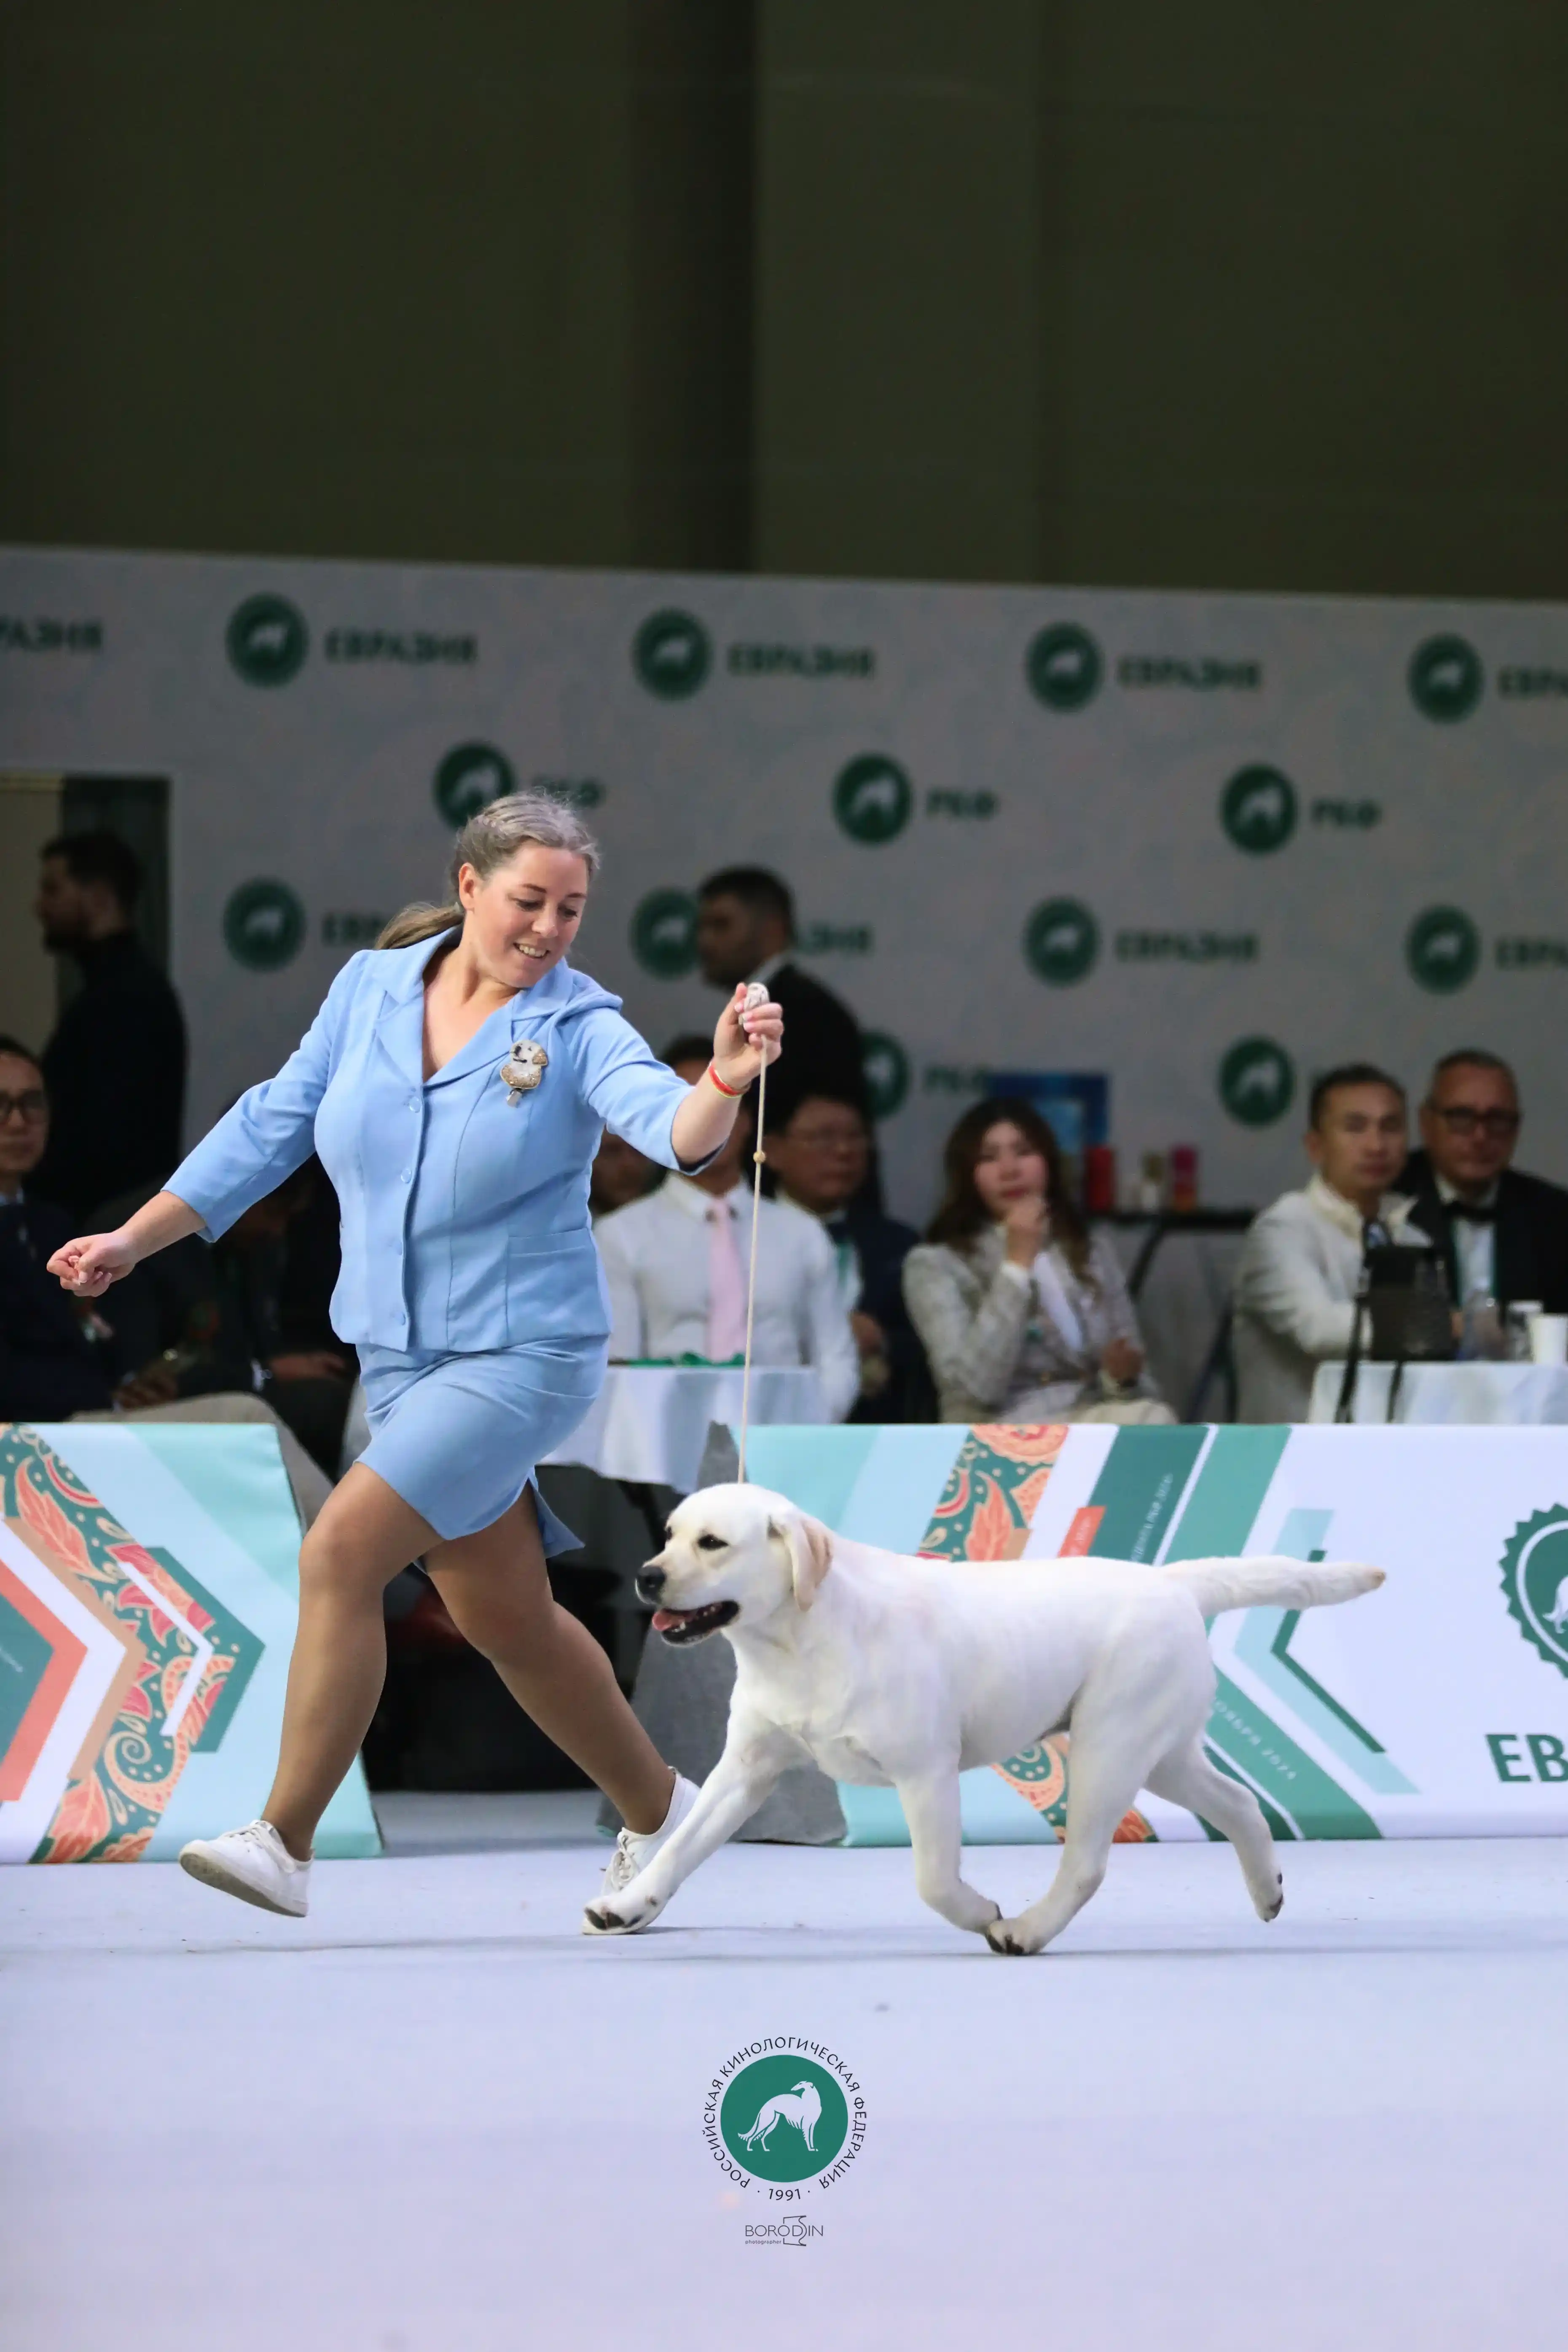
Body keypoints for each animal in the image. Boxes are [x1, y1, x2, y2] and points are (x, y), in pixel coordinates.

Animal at [583, 1482, 1385, 1954]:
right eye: (668, 1533)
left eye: (712, 1543)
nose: (647, 1577)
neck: (799, 1640)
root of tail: (1174, 1583)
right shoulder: (746, 1771)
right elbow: (683, 1847)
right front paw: (627, 1907)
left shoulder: (926, 1773)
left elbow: (934, 1880)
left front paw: (981, 1911)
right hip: (1162, 1754)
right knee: (1241, 1802)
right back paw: (1267, 1891)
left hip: (1110, 1746)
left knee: (1087, 1864)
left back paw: (1023, 1930)